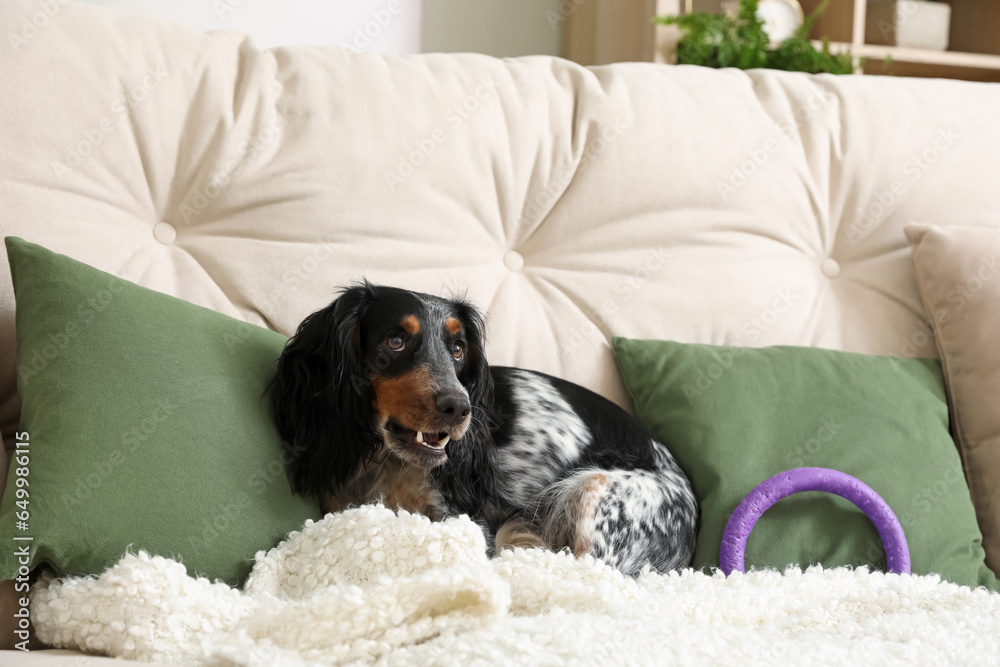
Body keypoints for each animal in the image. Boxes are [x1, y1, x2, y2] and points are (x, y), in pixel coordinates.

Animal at [270, 280, 700, 576]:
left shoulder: (466, 521)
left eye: (459, 348)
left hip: (593, 491)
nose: (459, 407)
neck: (387, 464)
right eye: (395, 341)